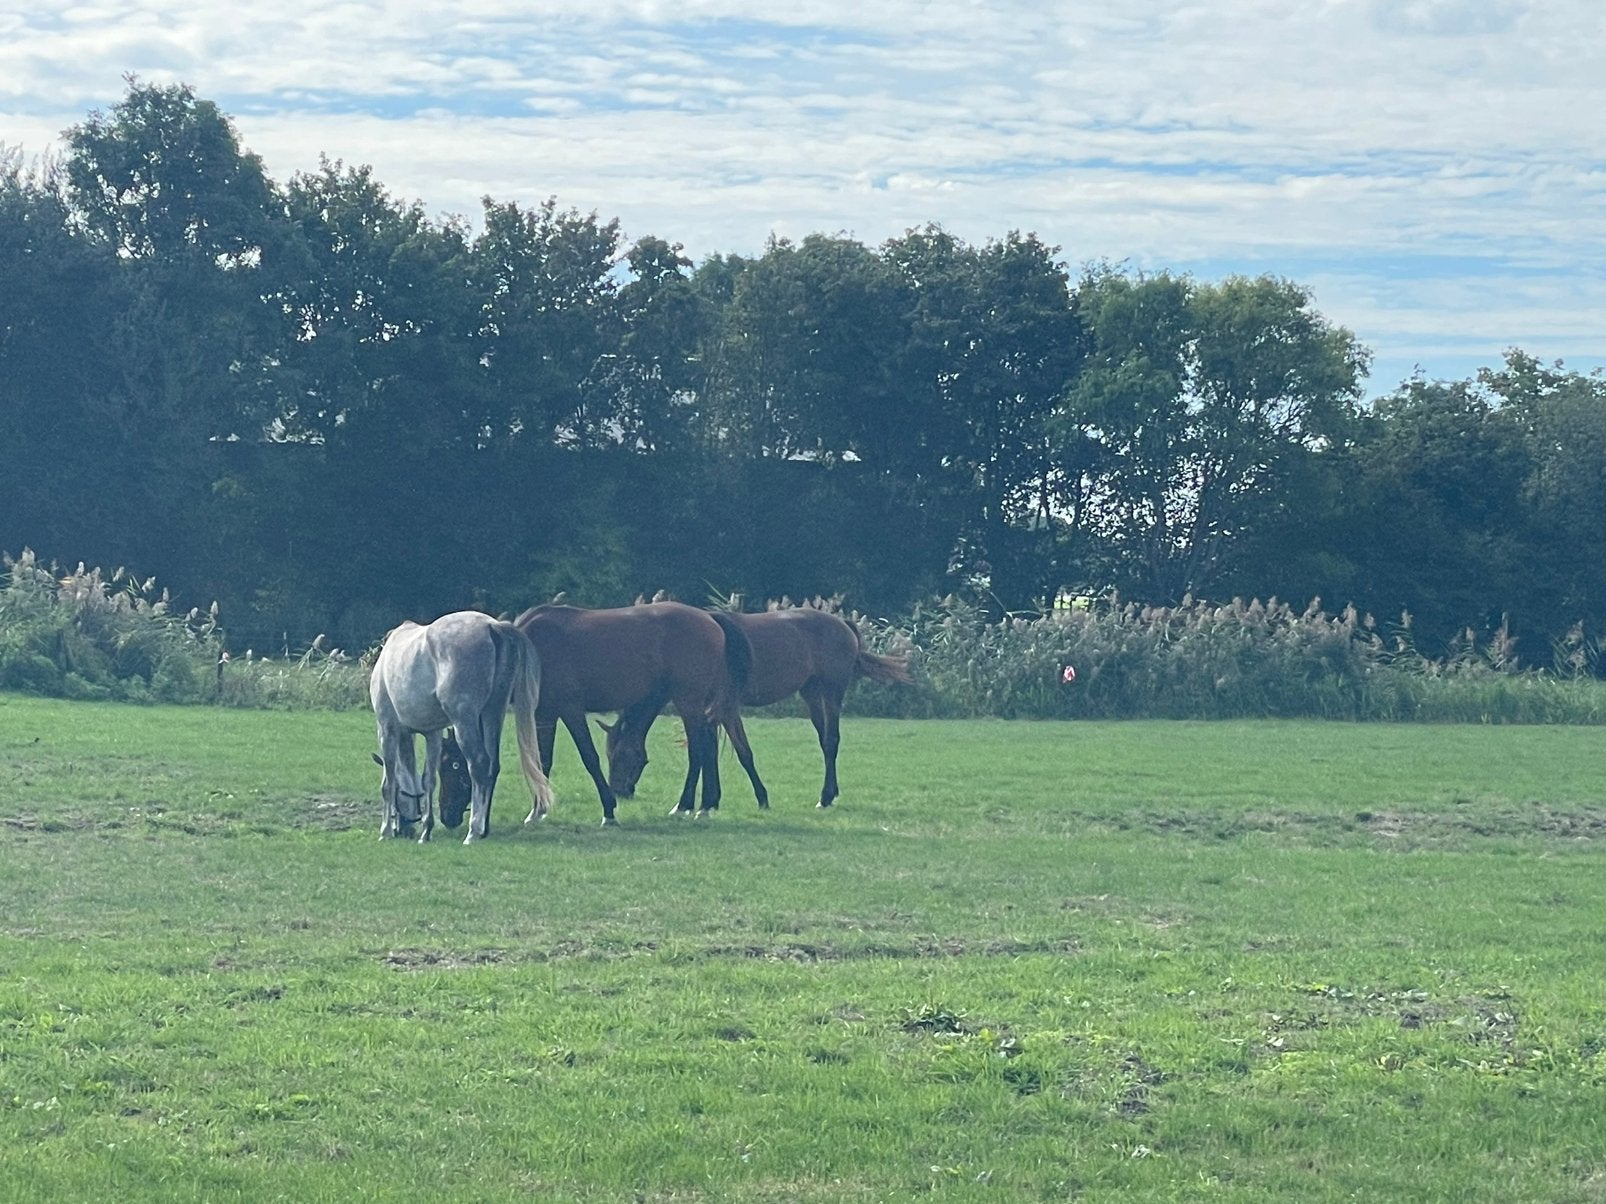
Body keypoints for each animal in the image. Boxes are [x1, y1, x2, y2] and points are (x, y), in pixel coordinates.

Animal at [369, 610, 554, 844]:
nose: (404, 830)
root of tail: (493, 626)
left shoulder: (387, 730)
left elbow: (389, 782)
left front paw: (385, 831)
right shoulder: (432, 734)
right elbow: (428, 780)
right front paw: (426, 831)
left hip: (464, 721)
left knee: (479, 764)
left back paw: (473, 831)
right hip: (493, 714)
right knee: (492, 765)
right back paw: (482, 829)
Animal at [501, 602, 752, 825]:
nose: (621, 792)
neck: (533, 644)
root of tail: (709, 617)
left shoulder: (570, 710)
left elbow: (589, 758)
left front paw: (609, 811)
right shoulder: (545, 715)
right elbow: (543, 761)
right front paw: (538, 811)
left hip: (688, 703)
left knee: (698, 751)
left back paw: (683, 806)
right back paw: (705, 806)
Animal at [604, 605, 912, 809]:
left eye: (624, 756)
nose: (619, 792)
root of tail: (843, 624)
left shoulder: (725, 708)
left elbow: (741, 753)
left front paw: (758, 798)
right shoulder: (712, 711)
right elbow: (711, 752)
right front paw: (711, 801)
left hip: (832, 693)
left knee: (832, 740)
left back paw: (825, 797)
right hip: (811, 694)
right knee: (825, 740)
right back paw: (830, 794)